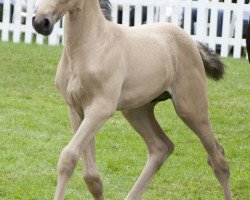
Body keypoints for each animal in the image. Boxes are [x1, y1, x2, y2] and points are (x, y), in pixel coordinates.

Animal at [33, 0, 232, 200]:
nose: (40, 22)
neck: (92, 46)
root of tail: (192, 41)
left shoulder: (100, 109)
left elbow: (68, 157)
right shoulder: (76, 110)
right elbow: (91, 177)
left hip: (191, 108)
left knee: (218, 160)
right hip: (137, 111)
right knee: (161, 147)